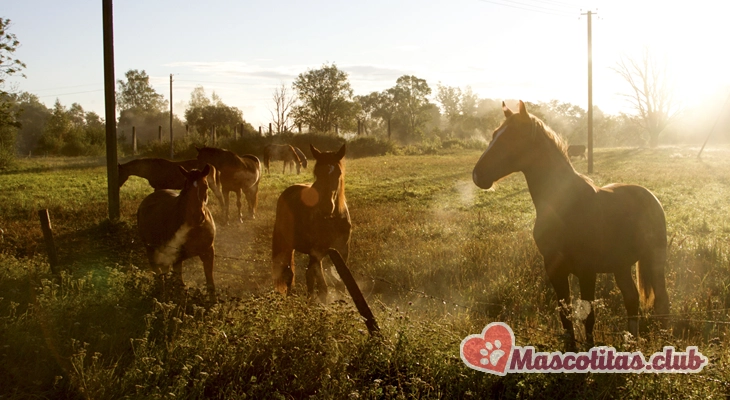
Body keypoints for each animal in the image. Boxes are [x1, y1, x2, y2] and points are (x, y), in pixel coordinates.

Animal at [136, 164, 216, 302]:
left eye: (205, 186)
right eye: (187, 187)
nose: (198, 216)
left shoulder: (208, 252)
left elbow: (210, 283)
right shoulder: (177, 257)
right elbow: (179, 283)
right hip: (151, 249)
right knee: (158, 273)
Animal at [272, 142, 352, 302]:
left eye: (338, 173)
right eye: (317, 173)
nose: (326, 206)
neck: (331, 219)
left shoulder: (343, 251)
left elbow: (340, 285)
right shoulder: (317, 252)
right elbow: (323, 288)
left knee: (308, 275)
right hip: (289, 246)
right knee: (290, 275)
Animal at [470, 101, 668, 350]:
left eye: (512, 137)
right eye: (495, 134)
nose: (477, 175)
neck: (566, 207)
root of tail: (650, 196)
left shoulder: (587, 270)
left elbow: (588, 316)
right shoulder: (554, 267)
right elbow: (565, 315)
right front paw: (570, 350)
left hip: (655, 259)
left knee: (662, 301)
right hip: (621, 265)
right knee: (631, 299)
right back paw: (630, 342)